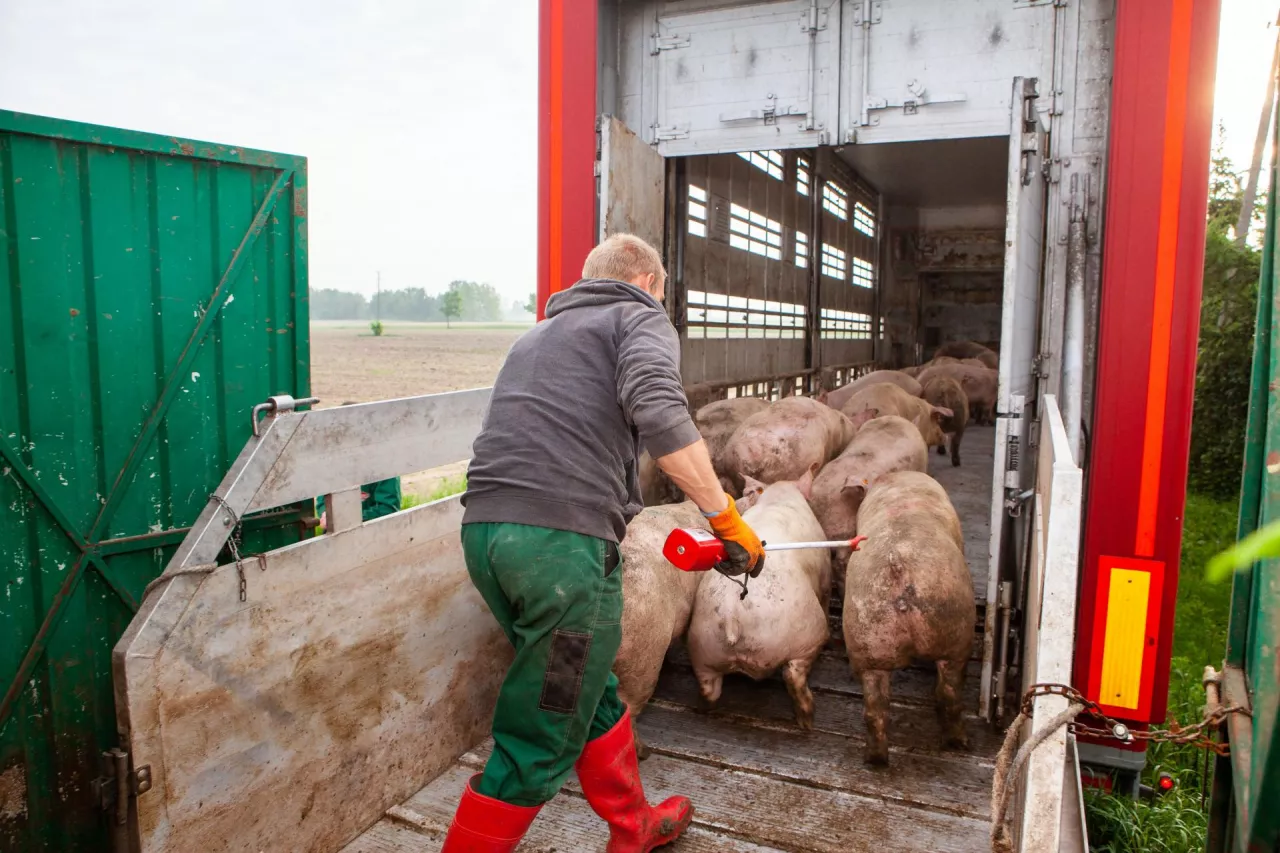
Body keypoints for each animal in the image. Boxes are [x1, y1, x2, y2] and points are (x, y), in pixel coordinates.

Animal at [686, 468, 834, 727]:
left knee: (708, 688)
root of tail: (731, 614)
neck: (779, 496)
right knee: (793, 674)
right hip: (805, 635)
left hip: (701, 646)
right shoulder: (825, 574)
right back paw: (807, 720)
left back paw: (704, 708)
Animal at [844, 468, 972, 758]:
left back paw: (875, 758)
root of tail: (899, 566)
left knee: (875, 709)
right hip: (954, 627)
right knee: (950, 694)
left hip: (867, 637)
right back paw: (958, 742)